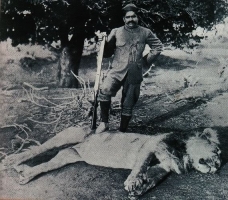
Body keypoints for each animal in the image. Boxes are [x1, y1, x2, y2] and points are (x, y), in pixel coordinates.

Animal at [2, 127, 221, 199]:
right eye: (216, 151)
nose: (218, 166)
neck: (184, 155)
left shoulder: (163, 168)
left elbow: (152, 178)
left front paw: (138, 190)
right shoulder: (151, 143)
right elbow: (141, 165)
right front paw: (133, 182)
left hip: (68, 156)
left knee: (47, 163)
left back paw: (25, 173)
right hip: (73, 133)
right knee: (38, 149)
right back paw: (11, 160)